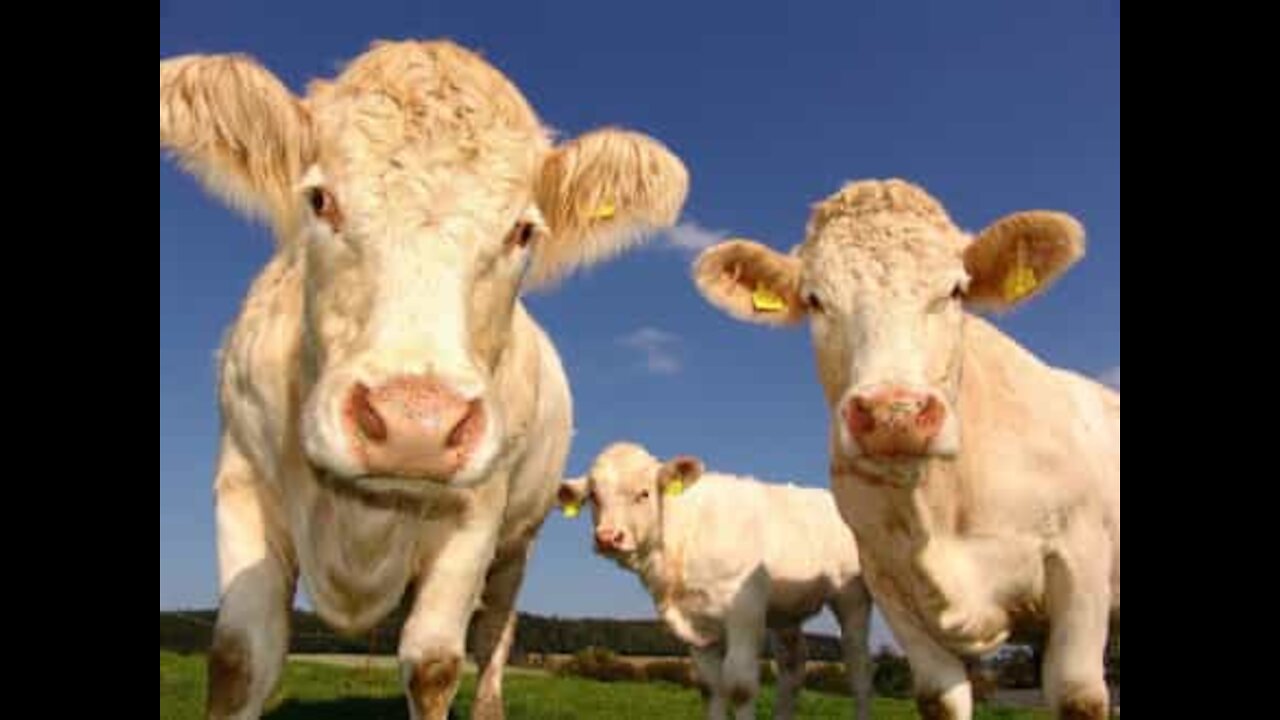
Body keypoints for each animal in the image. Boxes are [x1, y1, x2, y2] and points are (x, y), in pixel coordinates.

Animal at [160, 40, 691, 717]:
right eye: (320, 200)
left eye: (523, 231)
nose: (416, 423)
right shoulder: (242, 481)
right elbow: (239, 655)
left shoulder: (478, 514)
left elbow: (436, 663)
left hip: (517, 542)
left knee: (493, 634)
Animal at [555, 440, 875, 717]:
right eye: (594, 497)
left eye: (644, 493)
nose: (607, 537)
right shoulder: (696, 627)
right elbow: (712, 688)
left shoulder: (745, 611)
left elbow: (740, 688)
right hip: (786, 611)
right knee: (793, 667)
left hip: (853, 596)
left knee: (859, 669)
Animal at [691, 175, 1121, 717]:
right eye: (815, 300)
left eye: (956, 290)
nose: (893, 413)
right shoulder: (891, 584)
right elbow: (939, 697)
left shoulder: (1080, 562)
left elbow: (1077, 693)